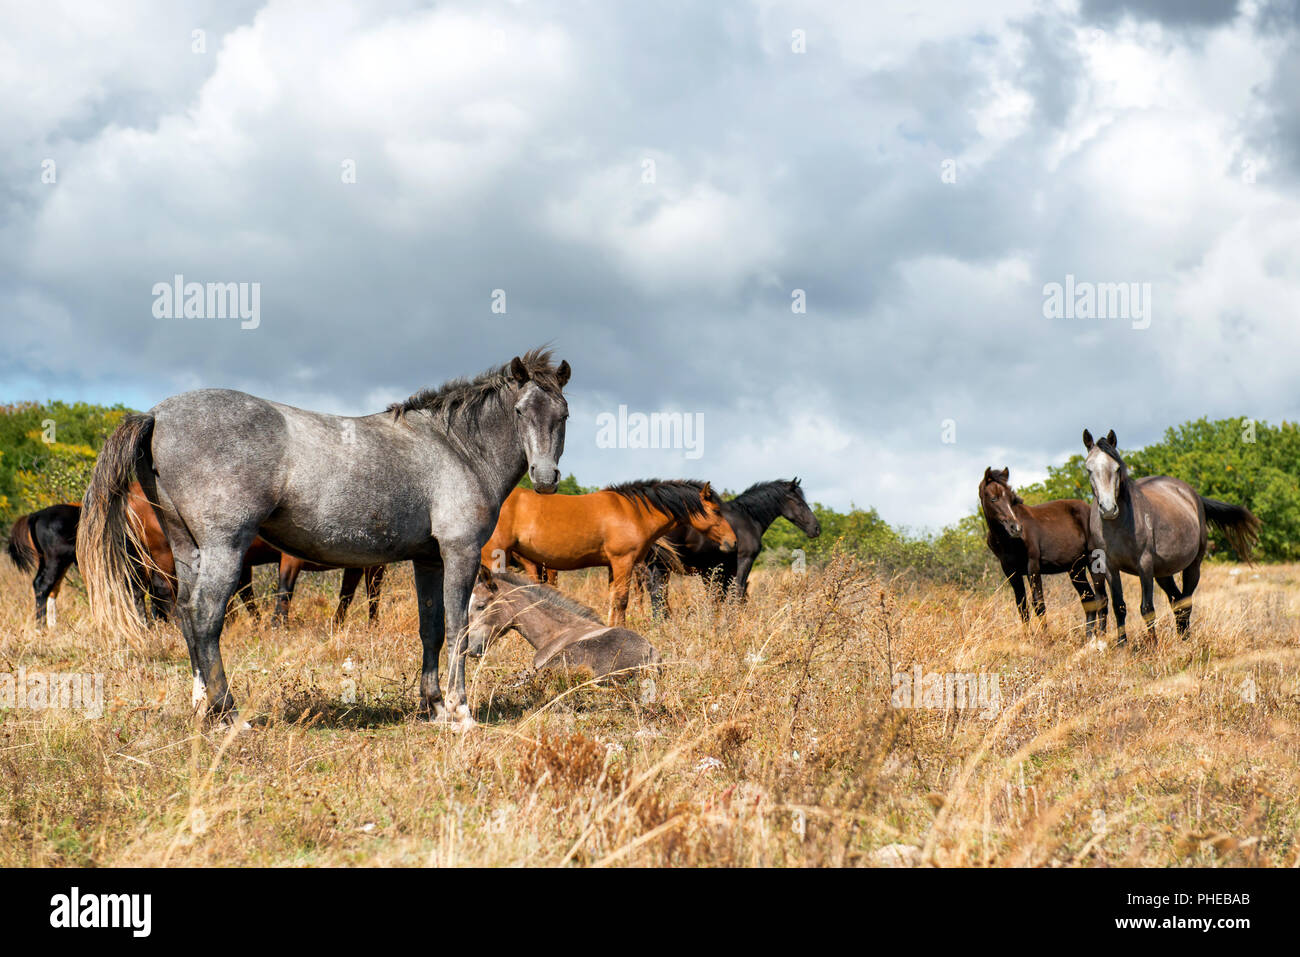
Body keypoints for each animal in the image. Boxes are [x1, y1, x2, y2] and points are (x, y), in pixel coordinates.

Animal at [78, 350, 569, 729]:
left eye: (562, 415)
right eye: (521, 411)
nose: (546, 478)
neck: (455, 449)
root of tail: (157, 415)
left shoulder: (428, 559)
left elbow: (430, 630)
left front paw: (432, 707)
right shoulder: (460, 553)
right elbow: (457, 629)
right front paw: (460, 712)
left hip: (188, 550)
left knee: (184, 615)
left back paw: (202, 708)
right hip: (223, 549)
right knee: (204, 619)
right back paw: (230, 714)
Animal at [480, 479, 737, 627]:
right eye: (716, 510)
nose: (732, 542)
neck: (633, 511)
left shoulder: (613, 566)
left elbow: (613, 600)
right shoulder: (624, 562)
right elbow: (622, 600)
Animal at [642, 478, 821, 617]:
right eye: (799, 502)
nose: (816, 528)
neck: (748, 519)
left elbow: (720, 597)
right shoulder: (743, 561)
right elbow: (737, 593)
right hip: (661, 566)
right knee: (658, 596)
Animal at [978, 467, 1109, 638]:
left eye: (1012, 499)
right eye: (993, 498)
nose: (1016, 528)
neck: (1006, 540)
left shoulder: (1033, 566)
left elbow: (1038, 603)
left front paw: (1045, 637)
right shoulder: (1010, 571)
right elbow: (1021, 605)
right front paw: (1028, 638)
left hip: (1094, 562)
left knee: (1102, 598)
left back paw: (1102, 636)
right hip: (1076, 569)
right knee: (1089, 599)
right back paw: (1089, 637)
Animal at [1082, 429, 1261, 647]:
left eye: (1116, 468)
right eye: (1089, 469)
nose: (1108, 509)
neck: (1118, 525)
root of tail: (1194, 496)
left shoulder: (1144, 565)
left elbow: (1147, 608)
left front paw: (1153, 646)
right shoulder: (1109, 567)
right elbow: (1119, 606)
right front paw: (1122, 645)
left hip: (1193, 566)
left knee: (1186, 601)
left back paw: (1186, 641)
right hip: (1163, 573)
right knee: (1177, 601)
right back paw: (1182, 636)